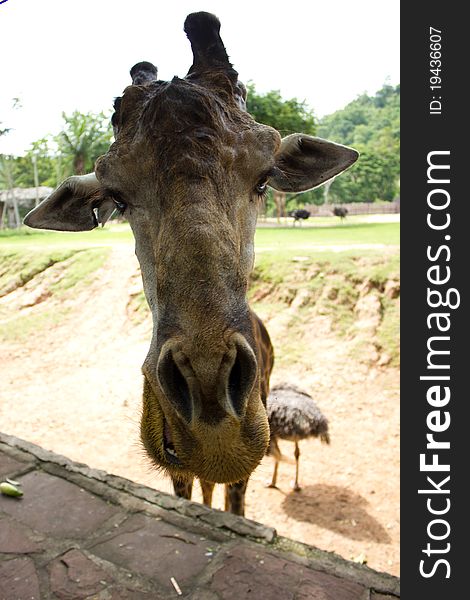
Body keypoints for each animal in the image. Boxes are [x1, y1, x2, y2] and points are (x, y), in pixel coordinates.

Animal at [24, 10, 356, 516]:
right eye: (117, 197)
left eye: (264, 180)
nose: (214, 430)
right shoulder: (178, 469)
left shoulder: (245, 465)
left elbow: (232, 500)